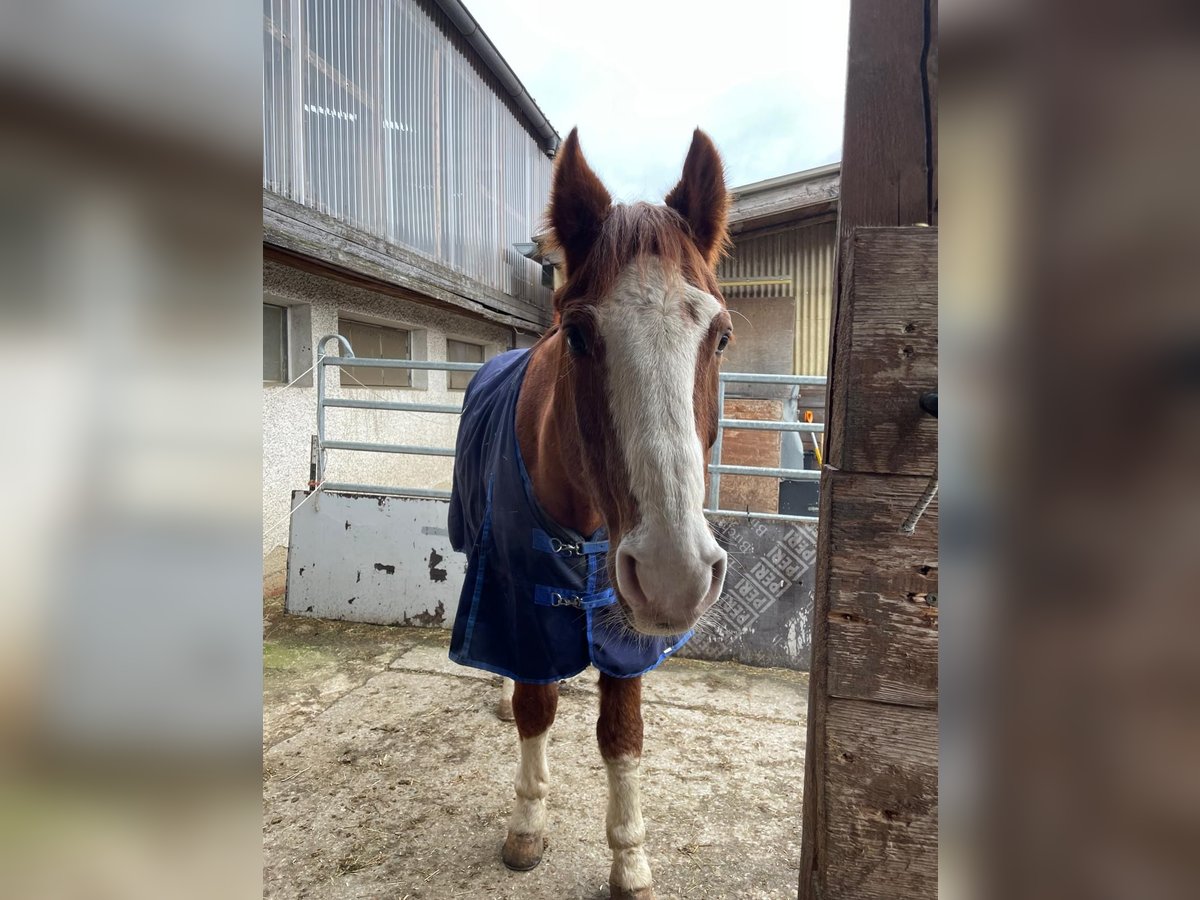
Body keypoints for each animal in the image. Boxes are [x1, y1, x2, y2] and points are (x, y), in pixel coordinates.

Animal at [451, 127, 729, 900]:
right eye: (577, 335)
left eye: (721, 336)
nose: (673, 573)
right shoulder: (516, 597)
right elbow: (535, 708)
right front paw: (526, 826)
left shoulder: (624, 621)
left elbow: (622, 736)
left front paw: (630, 861)